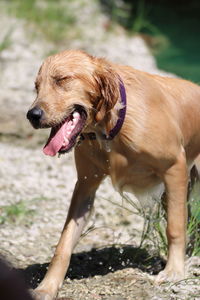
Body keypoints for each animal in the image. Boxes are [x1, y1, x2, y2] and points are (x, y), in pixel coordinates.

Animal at [26, 50, 200, 298]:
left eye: (62, 79)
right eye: (37, 86)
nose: (32, 115)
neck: (111, 128)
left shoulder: (174, 168)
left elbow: (175, 227)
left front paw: (174, 271)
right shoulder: (85, 186)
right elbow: (64, 243)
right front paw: (47, 286)